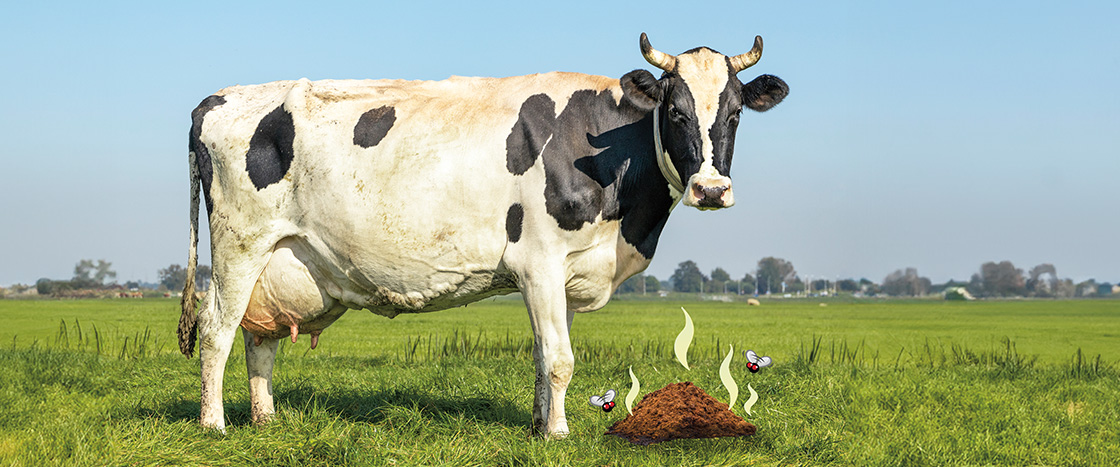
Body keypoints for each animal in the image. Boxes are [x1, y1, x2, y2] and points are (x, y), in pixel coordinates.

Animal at [178, 33, 788, 438]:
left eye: (734, 114)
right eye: (676, 111)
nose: (711, 189)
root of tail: (218, 98)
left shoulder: (564, 272)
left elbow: (544, 355)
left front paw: (540, 428)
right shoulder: (540, 261)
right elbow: (560, 358)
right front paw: (560, 434)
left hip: (278, 260)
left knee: (259, 339)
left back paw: (265, 419)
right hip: (239, 245)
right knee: (217, 330)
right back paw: (214, 425)